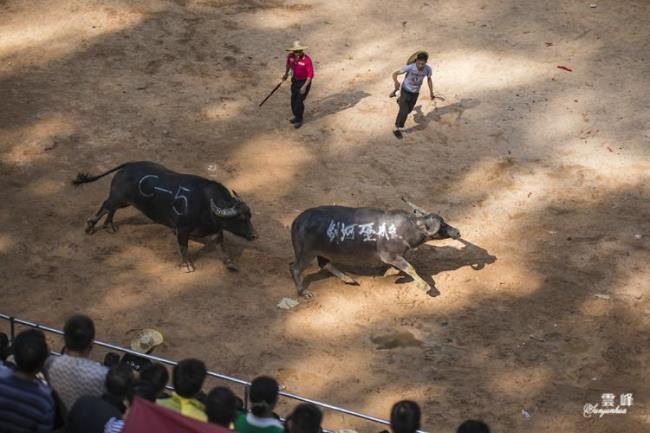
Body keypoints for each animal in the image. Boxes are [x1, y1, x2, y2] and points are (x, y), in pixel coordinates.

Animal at [73, 161, 256, 270]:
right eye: (240, 219)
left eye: (249, 216)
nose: (254, 235)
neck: (206, 203)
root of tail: (129, 164)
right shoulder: (182, 228)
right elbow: (183, 246)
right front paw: (187, 265)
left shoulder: (217, 229)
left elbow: (221, 246)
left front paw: (230, 264)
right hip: (119, 197)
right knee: (106, 205)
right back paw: (90, 226)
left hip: (124, 201)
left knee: (112, 208)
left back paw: (110, 225)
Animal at [288, 198, 460, 296]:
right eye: (443, 225)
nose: (457, 232)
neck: (408, 228)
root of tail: (297, 221)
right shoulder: (392, 256)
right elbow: (410, 268)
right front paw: (424, 286)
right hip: (306, 253)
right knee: (295, 268)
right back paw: (303, 291)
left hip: (320, 252)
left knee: (324, 263)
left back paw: (348, 278)